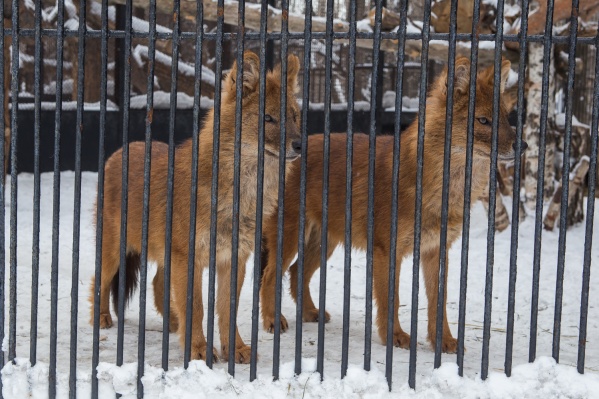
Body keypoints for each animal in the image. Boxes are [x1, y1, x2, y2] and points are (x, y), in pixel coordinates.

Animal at [91, 50, 302, 362]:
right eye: (268, 117)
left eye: (295, 116)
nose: (299, 145)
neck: (240, 193)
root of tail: (121, 150)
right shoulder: (188, 257)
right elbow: (197, 307)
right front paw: (199, 349)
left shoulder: (233, 259)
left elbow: (226, 309)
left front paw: (236, 349)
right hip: (115, 248)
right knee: (100, 279)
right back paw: (102, 317)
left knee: (158, 284)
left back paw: (173, 323)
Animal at [258, 57, 524, 354]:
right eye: (483, 120)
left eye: (506, 119)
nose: (523, 145)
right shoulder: (387, 251)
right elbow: (391, 298)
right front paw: (394, 337)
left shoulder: (436, 251)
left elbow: (439, 302)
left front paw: (444, 341)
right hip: (291, 237)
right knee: (270, 275)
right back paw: (272, 320)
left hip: (324, 243)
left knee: (296, 272)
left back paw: (309, 313)